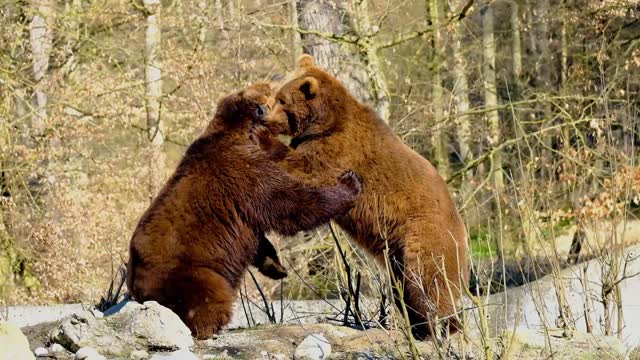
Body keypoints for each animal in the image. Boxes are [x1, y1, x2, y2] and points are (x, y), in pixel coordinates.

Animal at [127, 83, 362, 338]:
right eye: (270, 91)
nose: (271, 85)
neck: (242, 132)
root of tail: (138, 291)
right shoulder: (243, 172)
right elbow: (287, 203)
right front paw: (349, 184)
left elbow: (260, 238)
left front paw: (276, 267)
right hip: (190, 272)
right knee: (210, 294)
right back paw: (211, 326)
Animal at [252, 56, 468, 340]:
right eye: (274, 92)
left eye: (282, 99)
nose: (261, 112)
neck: (323, 123)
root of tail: (462, 228)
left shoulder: (338, 151)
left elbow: (306, 171)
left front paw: (262, 140)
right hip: (397, 254)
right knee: (404, 287)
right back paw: (419, 327)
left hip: (424, 236)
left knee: (427, 279)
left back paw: (441, 326)